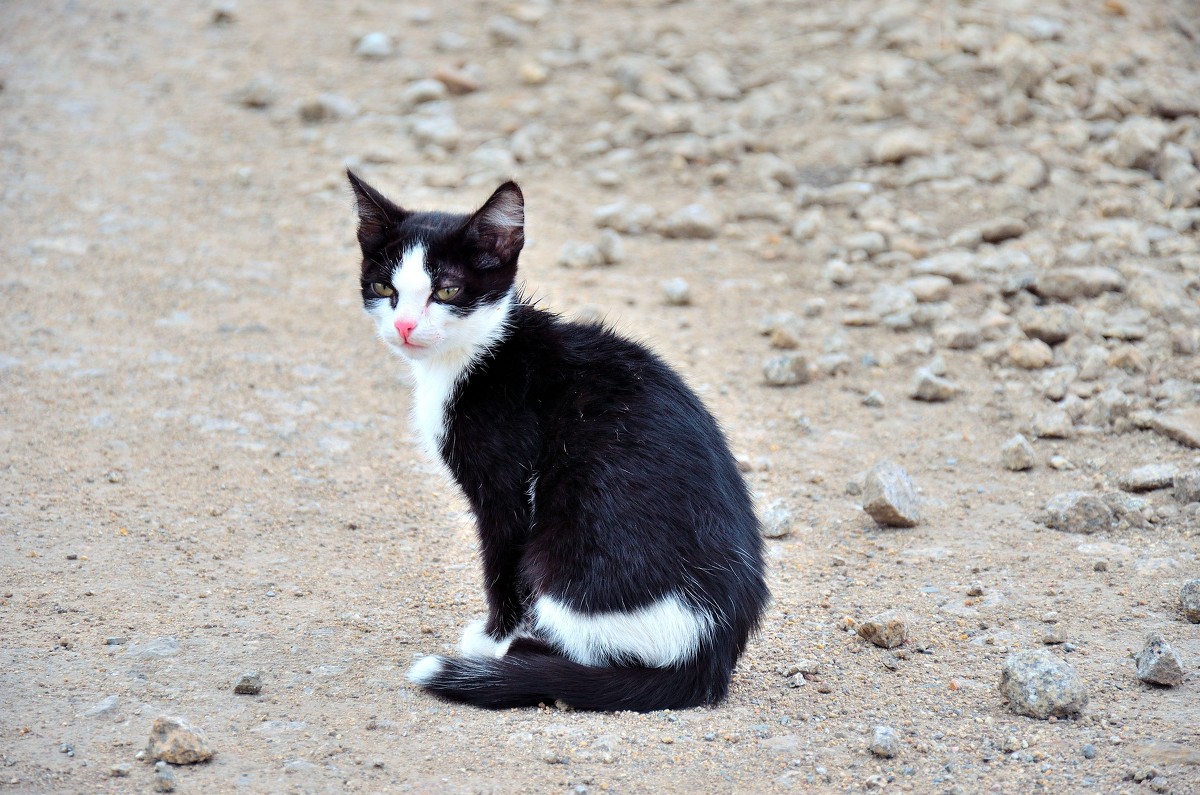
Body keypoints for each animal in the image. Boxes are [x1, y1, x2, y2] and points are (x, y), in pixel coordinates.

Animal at [348, 171, 768, 710]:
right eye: (385, 287)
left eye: (447, 289)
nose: (403, 325)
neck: (481, 352)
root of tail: (712, 652)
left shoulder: (506, 483)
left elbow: (502, 563)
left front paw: (494, 637)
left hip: (570, 545)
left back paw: (520, 657)